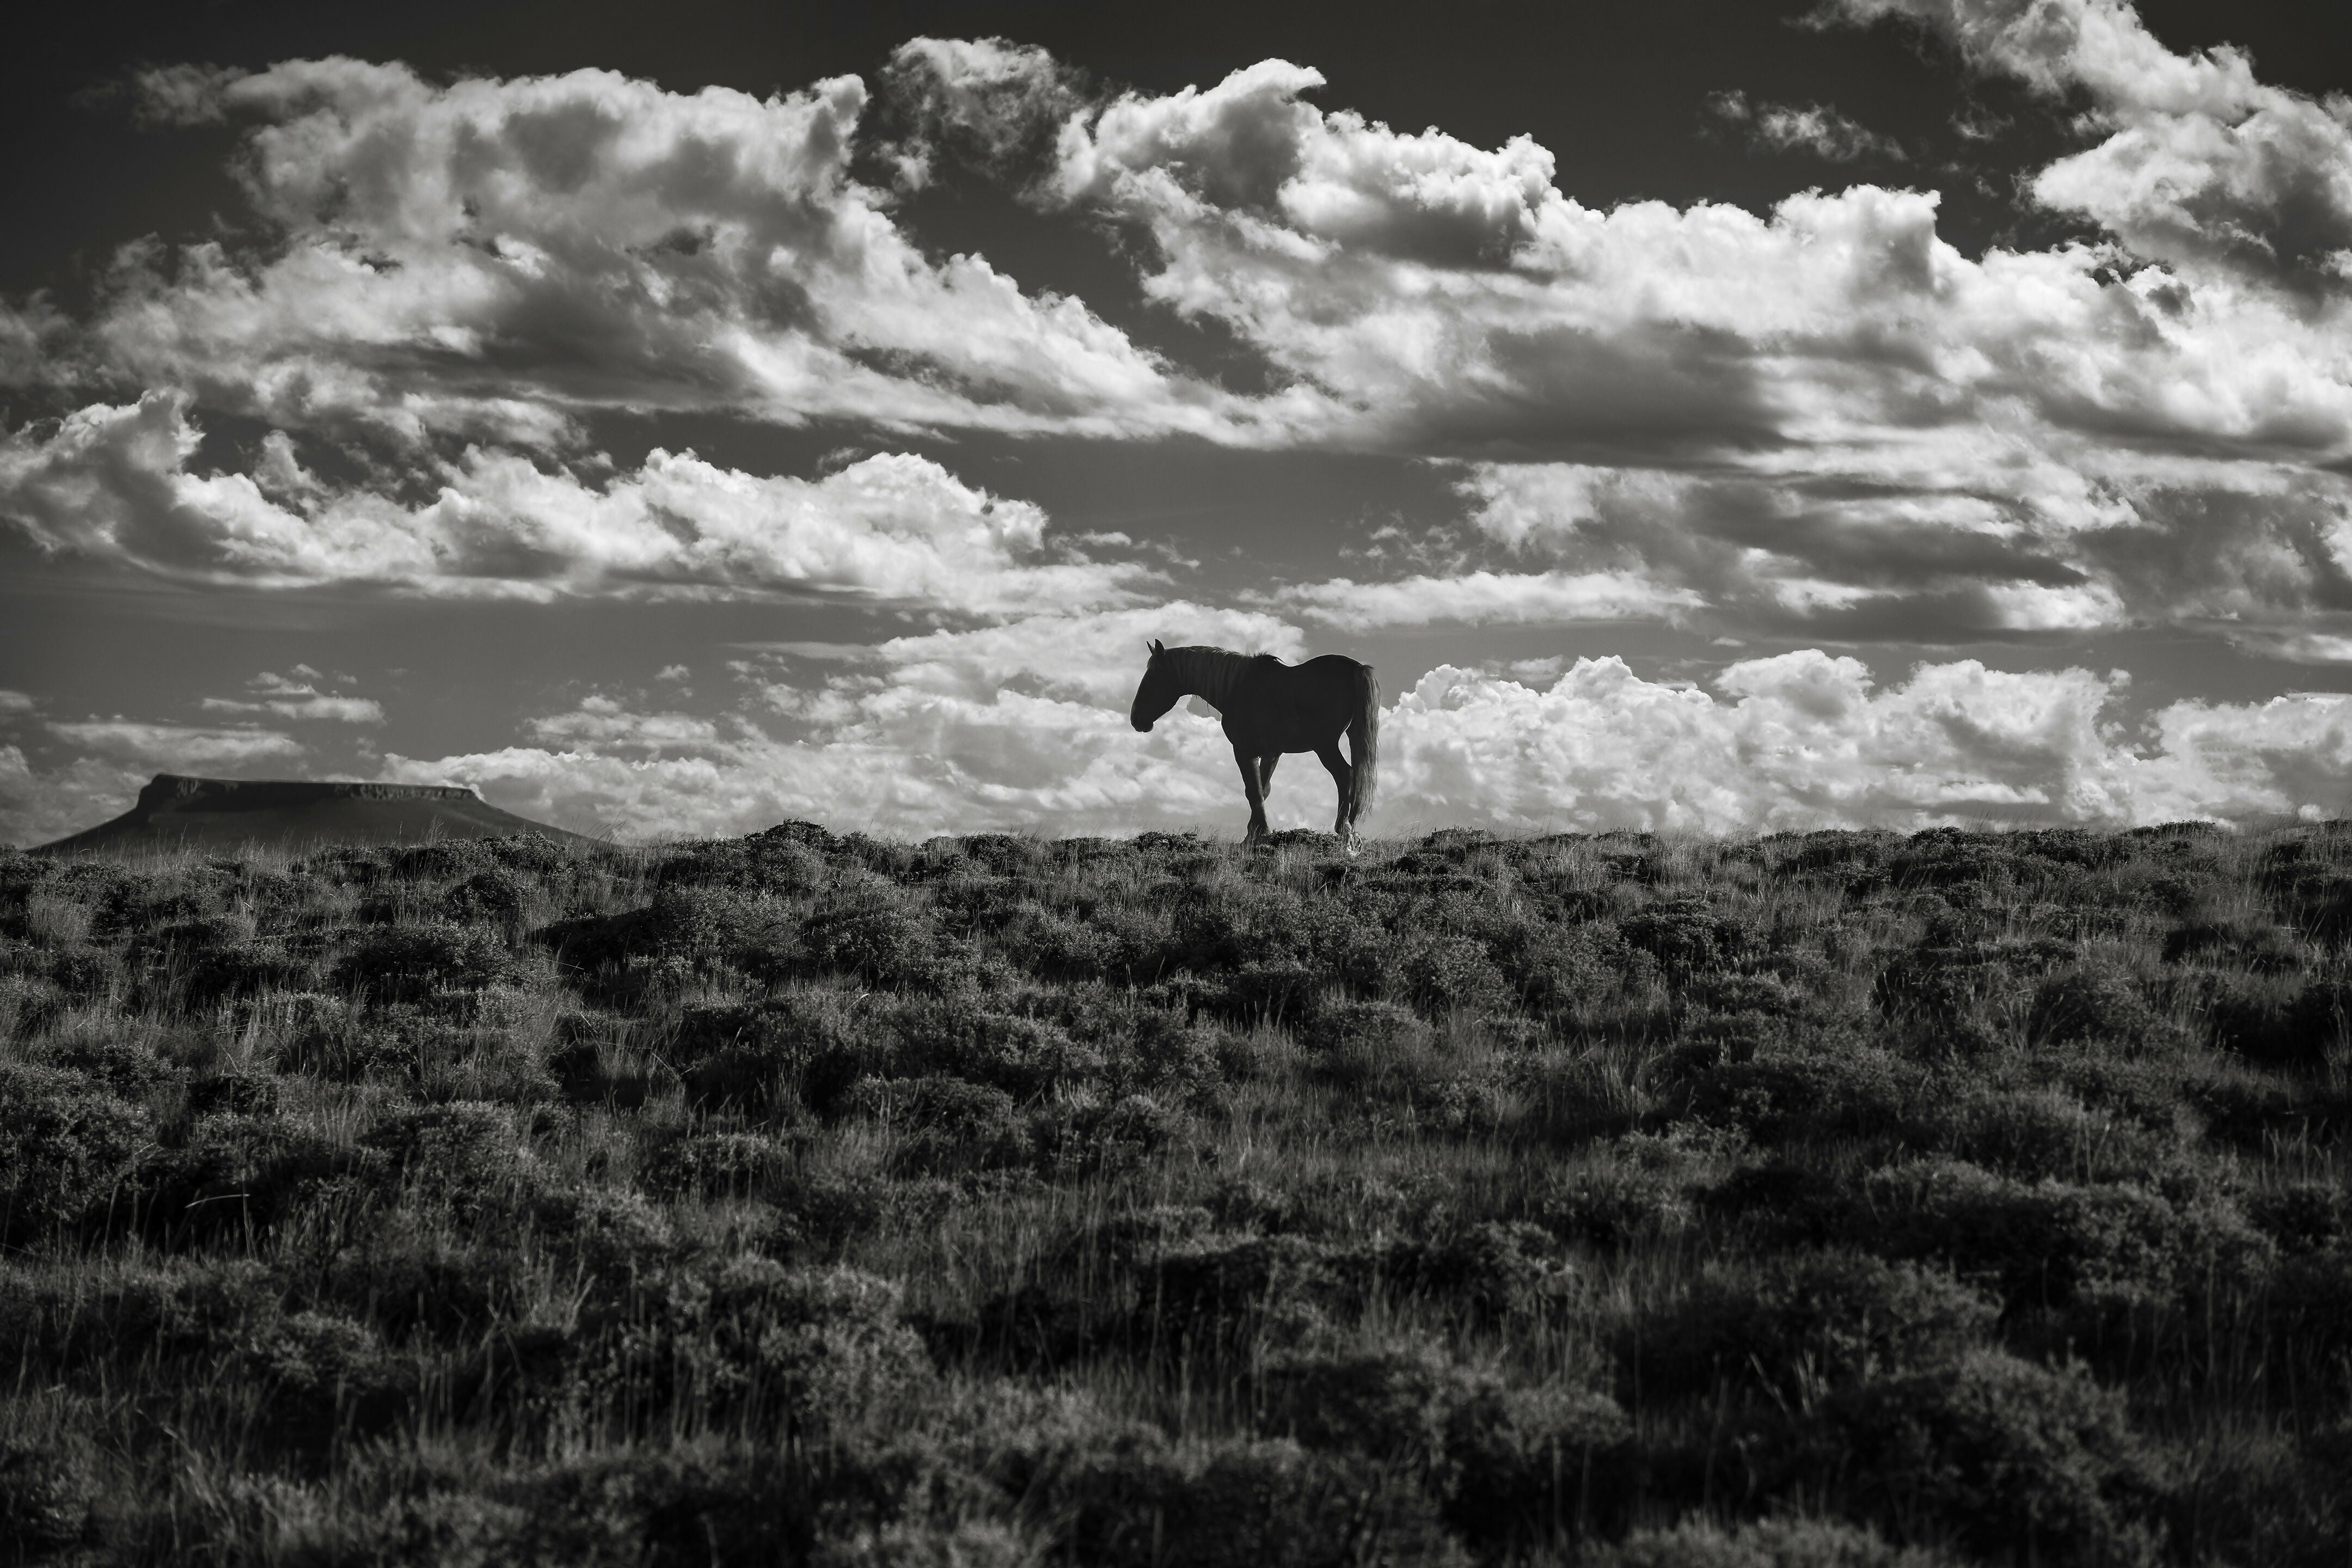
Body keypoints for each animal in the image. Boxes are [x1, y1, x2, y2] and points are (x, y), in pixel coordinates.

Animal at [1124, 639, 1373, 846]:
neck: (1237, 688)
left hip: (1325, 745)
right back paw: (1351, 830)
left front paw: (1258, 835)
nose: (1136, 719)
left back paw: (1344, 830)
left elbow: (1253, 791)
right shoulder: (1272, 753)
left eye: (1154, 676)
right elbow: (1263, 789)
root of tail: (1358, 669)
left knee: (1346, 775)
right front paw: (1253, 834)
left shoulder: (1244, 750)